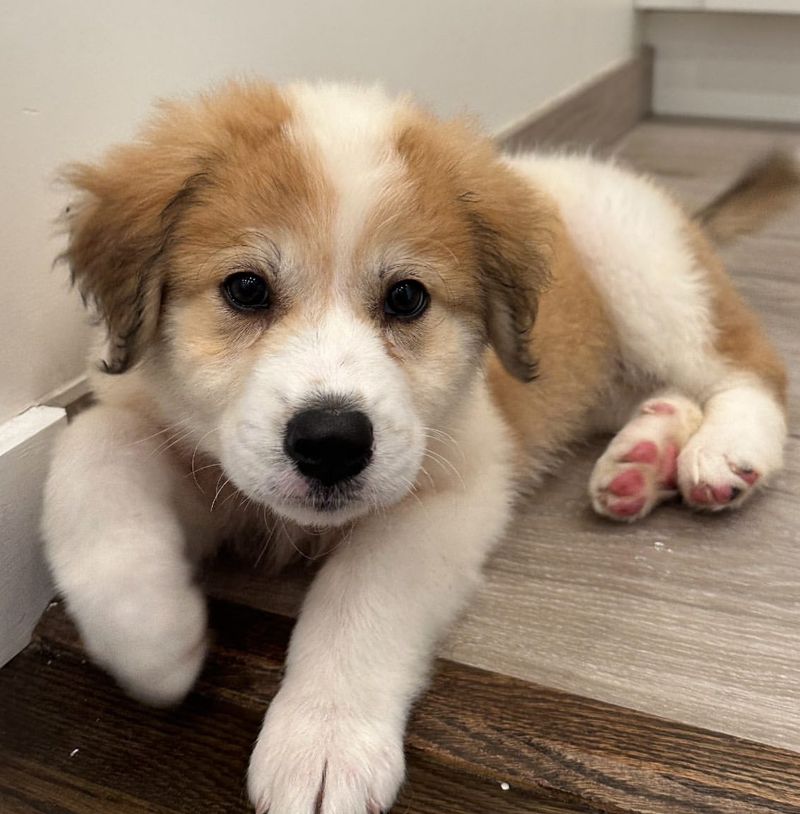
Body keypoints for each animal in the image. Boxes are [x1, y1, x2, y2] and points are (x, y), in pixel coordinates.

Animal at [42, 79, 788, 812]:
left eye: (406, 298)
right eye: (246, 288)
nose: (332, 444)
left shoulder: (455, 488)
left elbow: (360, 597)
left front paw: (325, 738)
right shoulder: (165, 432)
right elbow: (87, 455)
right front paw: (152, 635)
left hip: (651, 284)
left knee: (750, 370)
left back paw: (724, 451)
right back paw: (643, 458)